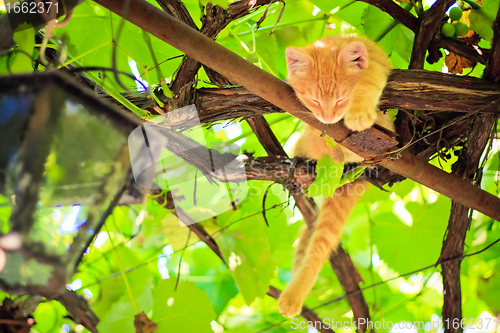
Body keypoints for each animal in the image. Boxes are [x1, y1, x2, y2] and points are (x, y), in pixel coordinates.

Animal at [278, 34, 390, 316]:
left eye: (341, 99)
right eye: (314, 100)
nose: (328, 116)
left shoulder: (376, 66)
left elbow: (368, 83)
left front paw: (358, 113)